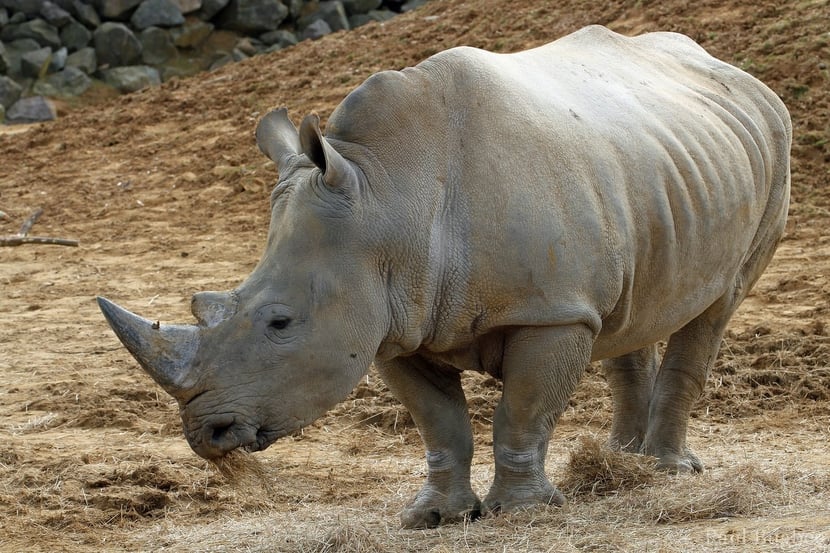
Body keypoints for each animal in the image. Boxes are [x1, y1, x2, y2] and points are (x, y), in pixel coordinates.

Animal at [98, 25, 791, 528]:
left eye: (280, 322)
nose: (207, 434)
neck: (387, 197)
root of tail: (727, 70)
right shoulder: (391, 321)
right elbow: (440, 423)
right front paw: (433, 517)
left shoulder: (549, 310)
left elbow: (522, 411)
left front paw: (523, 514)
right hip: (655, 168)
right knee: (632, 305)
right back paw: (619, 468)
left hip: (772, 141)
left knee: (716, 305)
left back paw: (667, 474)